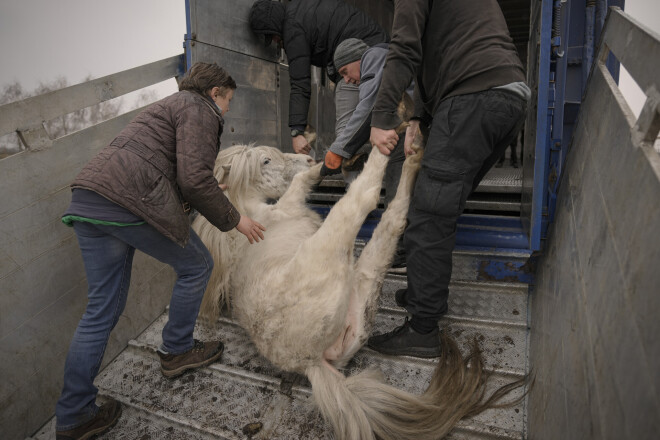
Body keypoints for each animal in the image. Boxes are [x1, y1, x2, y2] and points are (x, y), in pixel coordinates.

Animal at [192, 142, 524, 440]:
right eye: (265, 161)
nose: (308, 157)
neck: (250, 218)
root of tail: (309, 361)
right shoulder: (288, 205)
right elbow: (299, 183)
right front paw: (318, 168)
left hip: (362, 290)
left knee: (391, 222)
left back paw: (411, 151)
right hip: (334, 241)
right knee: (366, 200)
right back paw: (390, 145)